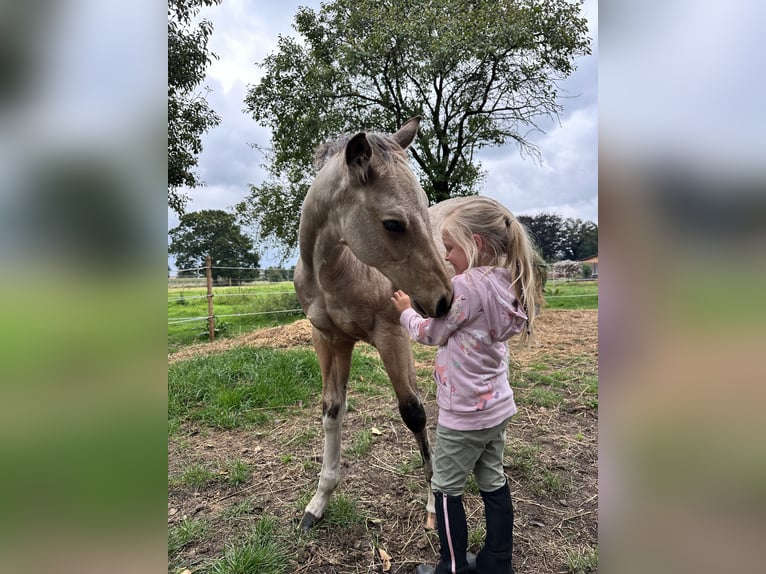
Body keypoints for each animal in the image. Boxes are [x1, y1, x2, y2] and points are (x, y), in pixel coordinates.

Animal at [294, 117, 454, 531]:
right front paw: (318, 503)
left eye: (423, 208)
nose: (443, 300)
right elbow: (332, 409)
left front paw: (434, 503)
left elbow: (413, 411)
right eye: (393, 224)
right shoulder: (330, 340)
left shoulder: (391, 334)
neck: (338, 272)